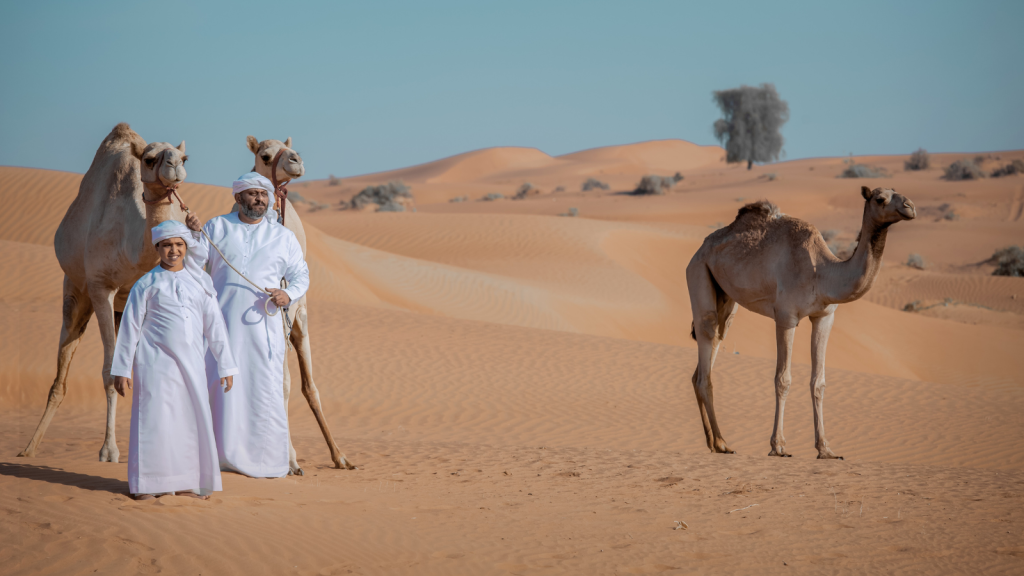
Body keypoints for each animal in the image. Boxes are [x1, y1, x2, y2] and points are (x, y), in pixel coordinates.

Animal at [18, 123, 188, 461]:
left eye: (185, 156)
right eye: (149, 159)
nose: (175, 165)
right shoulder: (100, 287)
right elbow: (110, 372)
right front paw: (109, 451)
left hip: (121, 308)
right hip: (75, 291)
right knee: (62, 366)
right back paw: (29, 449)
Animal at [245, 135, 354, 473]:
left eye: (292, 148)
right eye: (265, 156)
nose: (296, 160)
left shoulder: (290, 314)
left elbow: (292, 385)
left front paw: (292, 460)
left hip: (297, 320)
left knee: (305, 385)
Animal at [685, 186, 916, 459]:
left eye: (899, 193)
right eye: (880, 199)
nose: (910, 207)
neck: (822, 273)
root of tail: (699, 250)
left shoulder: (824, 317)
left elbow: (819, 382)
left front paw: (825, 449)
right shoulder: (786, 316)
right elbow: (782, 379)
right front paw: (778, 446)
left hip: (726, 297)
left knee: (714, 344)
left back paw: (713, 443)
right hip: (698, 271)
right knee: (707, 337)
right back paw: (722, 443)